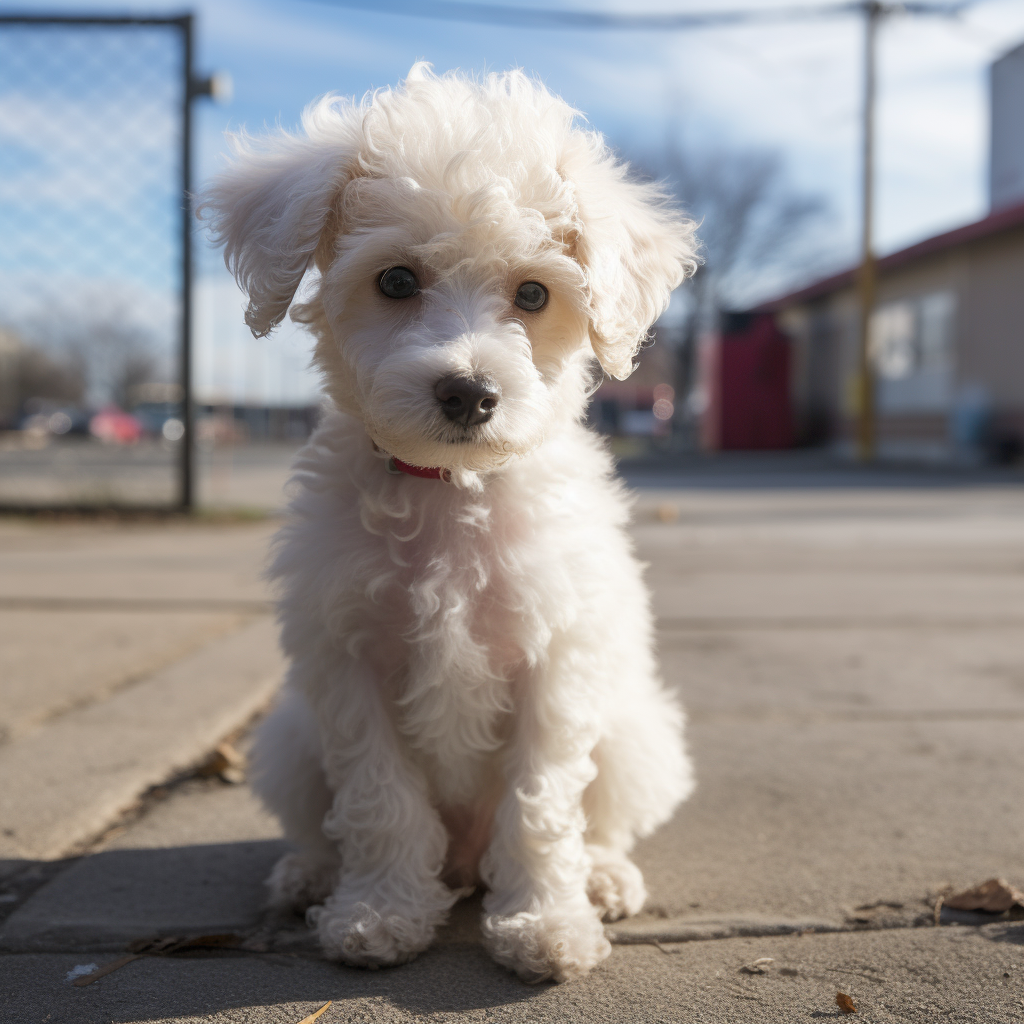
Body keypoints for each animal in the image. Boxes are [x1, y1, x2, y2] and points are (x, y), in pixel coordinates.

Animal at [199, 66, 696, 983]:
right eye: (396, 281)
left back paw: (602, 877)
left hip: (634, 730)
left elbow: (541, 806)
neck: (449, 494)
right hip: (289, 737)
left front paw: (545, 924)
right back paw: (309, 875)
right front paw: (380, 914)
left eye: (533, 293)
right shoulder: (347, 661)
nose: (468, 392)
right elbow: (379, 798)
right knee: (321, 822)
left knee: (601, 819)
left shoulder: (557, 662)